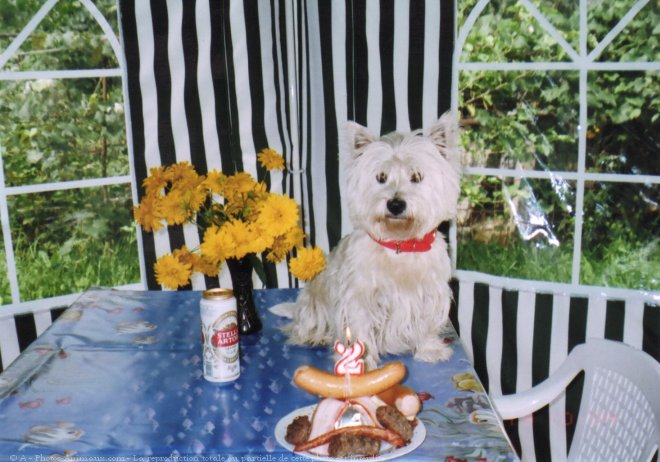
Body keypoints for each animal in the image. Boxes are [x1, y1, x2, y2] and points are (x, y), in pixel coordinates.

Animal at [276, 113, 462, 368]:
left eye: (416, 176)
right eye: (381, 177)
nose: (395, 204)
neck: (399, 245)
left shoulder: (430, 293)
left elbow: (426, 324)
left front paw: (431, 350)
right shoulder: (360, 298)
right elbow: (360, 329)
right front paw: (361, 360)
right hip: (312, 306)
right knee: (303, 327)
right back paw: (316, 337)